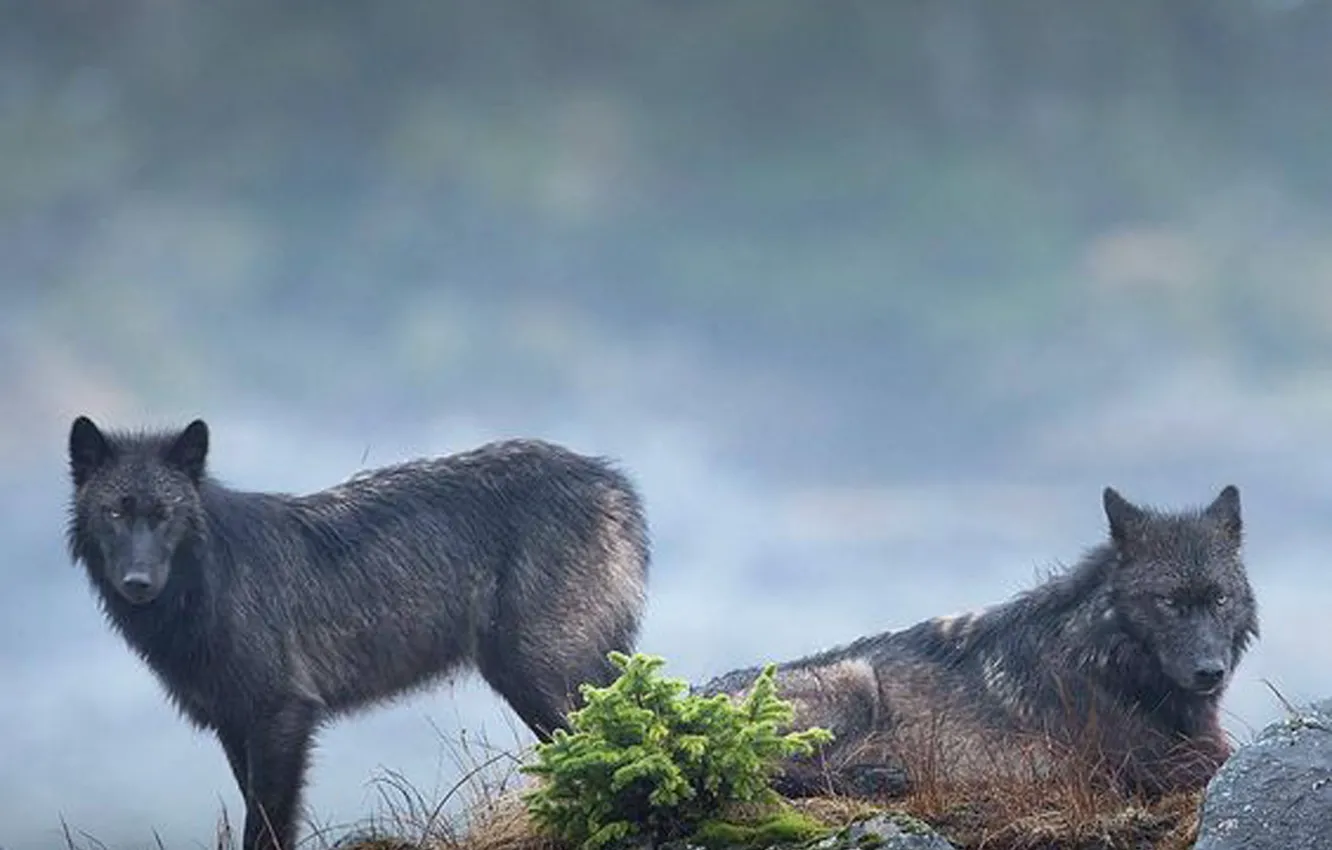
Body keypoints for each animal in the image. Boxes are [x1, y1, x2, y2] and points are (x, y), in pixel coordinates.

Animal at [65, 415, 650, 850]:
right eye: (115, 512)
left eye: (164, 514)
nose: (138, 582)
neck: (210, 581)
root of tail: (616, 484)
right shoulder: (235, 726)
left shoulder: (283, 715)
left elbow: (267, 827)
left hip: (535, 675)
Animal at [698, 485, 1257, 800]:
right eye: (1168, 602)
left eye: (1221, 599)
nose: (1210, 671)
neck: (1103, 658)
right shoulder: (1150, 762)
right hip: (852, 683)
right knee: (770, 771)